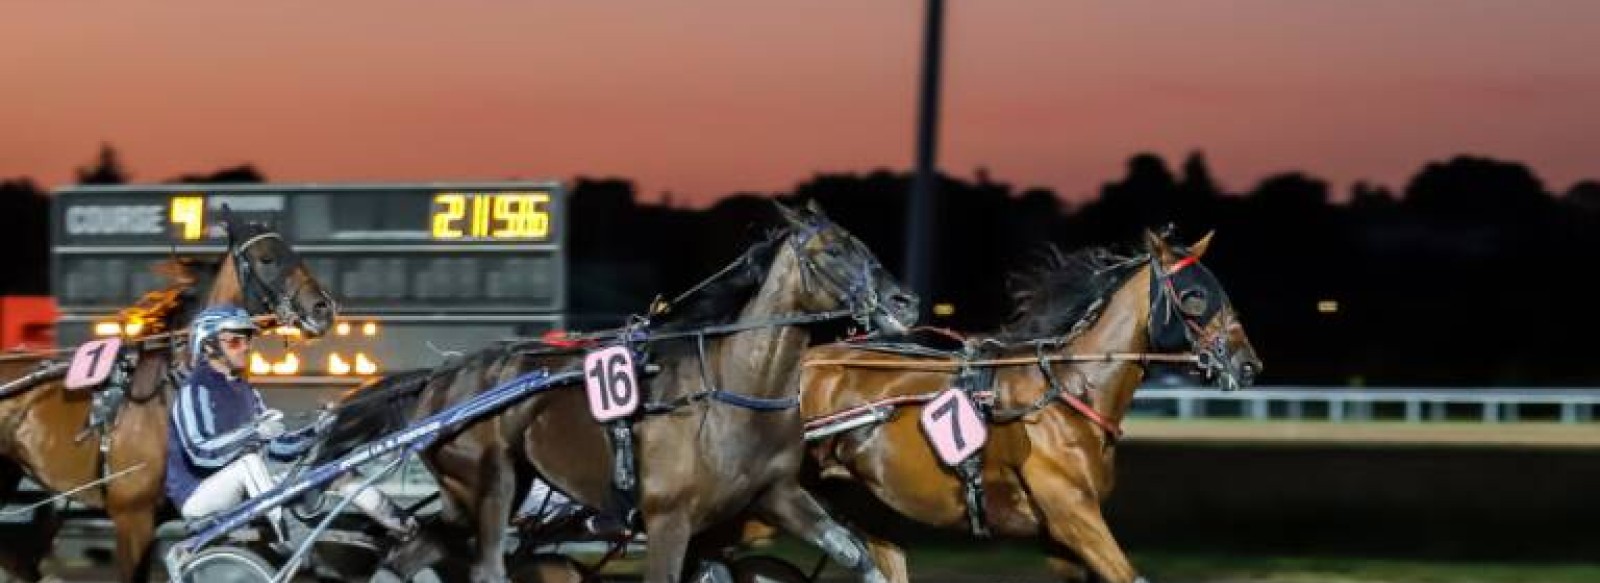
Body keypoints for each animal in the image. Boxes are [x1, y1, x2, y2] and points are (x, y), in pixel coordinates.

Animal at [318, 201, 921, 583]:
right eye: (834, 251)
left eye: (861, 243)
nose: (906, 301)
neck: (733, 394)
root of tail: (439, 380)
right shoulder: (668, 520)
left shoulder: (775, 495)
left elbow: (857, 556)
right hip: (490, 483)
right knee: (487, 568)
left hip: (468, 494)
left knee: (405, 557)